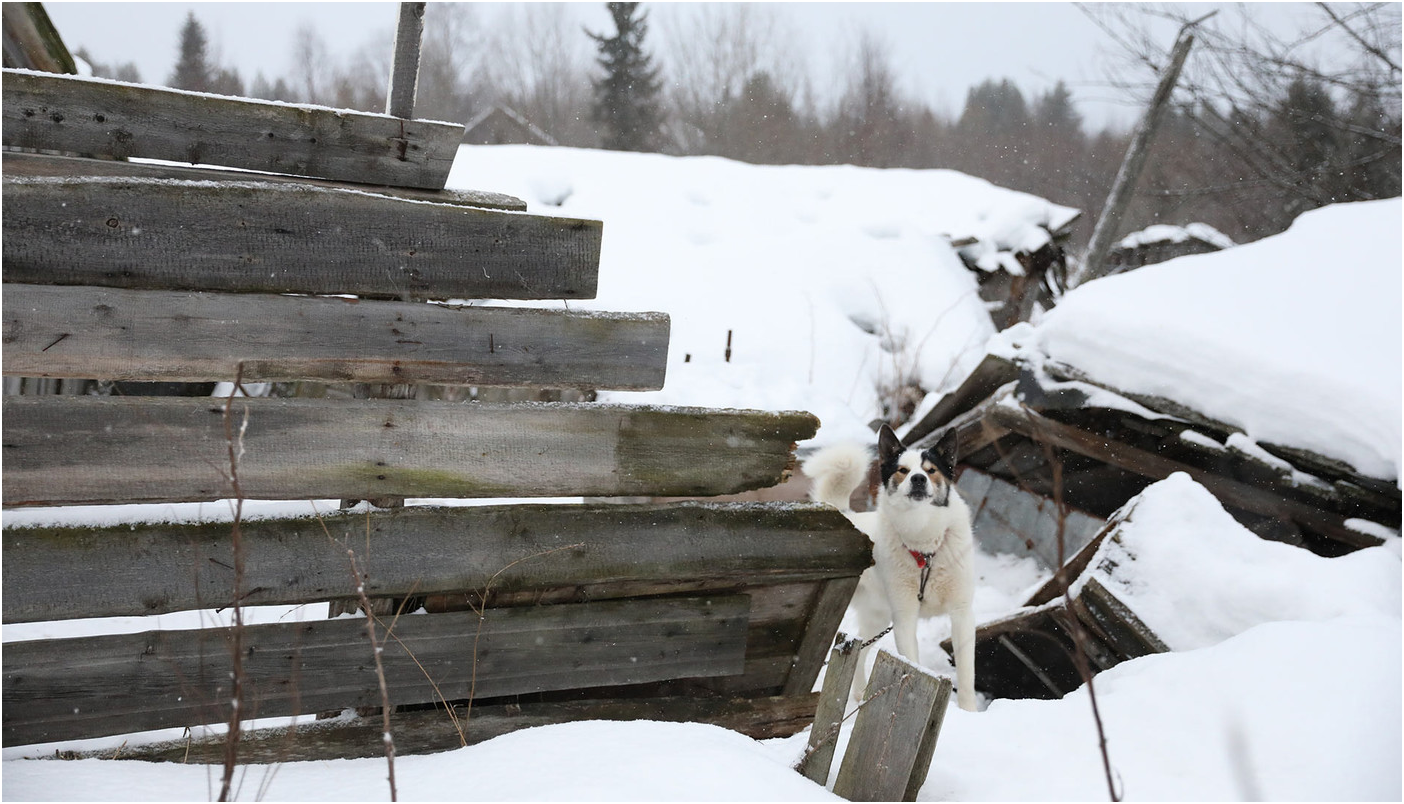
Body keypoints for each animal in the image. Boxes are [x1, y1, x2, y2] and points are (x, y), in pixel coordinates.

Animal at [803, 423, 977, 712]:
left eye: (931, 470)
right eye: (903, 470)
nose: (918, 479)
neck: (926, 548)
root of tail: (846, 516)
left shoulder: (962, 613)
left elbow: (966, 674)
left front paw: (968, 713)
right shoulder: (904, 615)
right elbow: (912, 662)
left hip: (878, 615)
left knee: (860, 646)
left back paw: (860, 693)